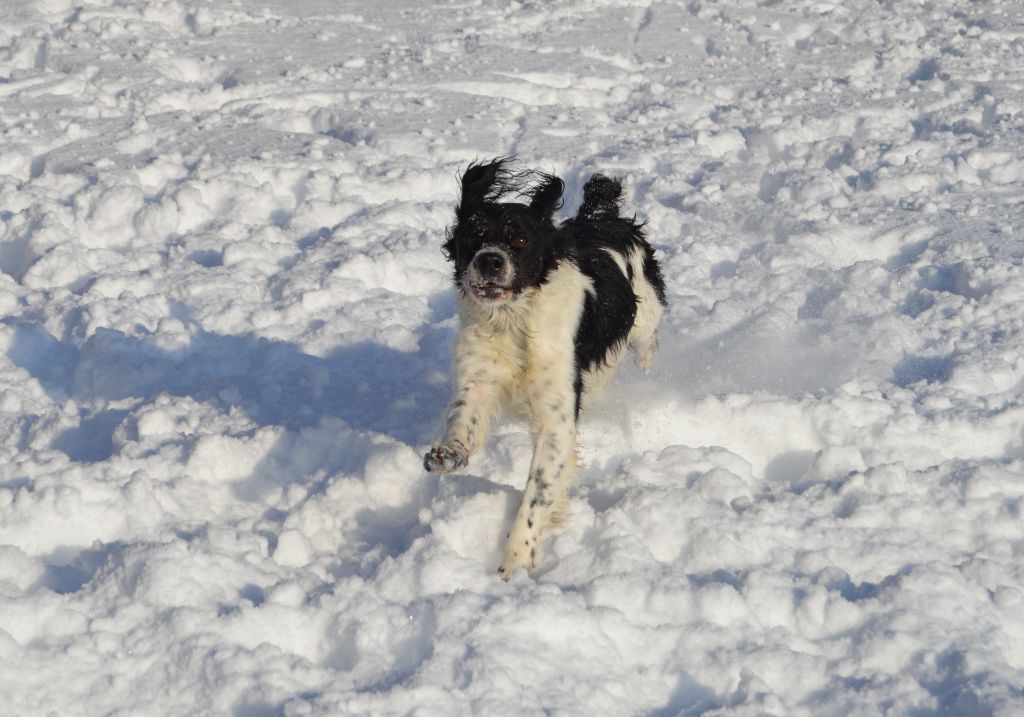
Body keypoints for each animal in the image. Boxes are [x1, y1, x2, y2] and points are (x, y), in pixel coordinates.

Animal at [424, 158, 667, 579]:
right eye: (472, 236)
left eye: (519, 240)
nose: (489, 260)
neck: (514, 323)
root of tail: (602, 216)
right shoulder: (479, 380)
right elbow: (463, 421)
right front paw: (449, 454)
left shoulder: (557, 421)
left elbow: (535, 497)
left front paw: (512, 568)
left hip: (646, 309)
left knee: (647, 336)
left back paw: (646, 363)